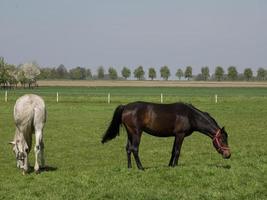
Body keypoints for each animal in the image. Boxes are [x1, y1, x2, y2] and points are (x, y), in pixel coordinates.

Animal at [101, 101, 231, 170]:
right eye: (223, 140)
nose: (228, 155)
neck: (190, 116)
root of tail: (125, 107)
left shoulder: (175, 136)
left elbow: (173, 151)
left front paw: (170, 166)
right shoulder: (180, 135)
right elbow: (177, 151)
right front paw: (175, 166)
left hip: (130, 133)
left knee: (128, 149)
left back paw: (129, 167)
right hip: (137, 133)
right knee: (134, 149)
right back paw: (141, 167)